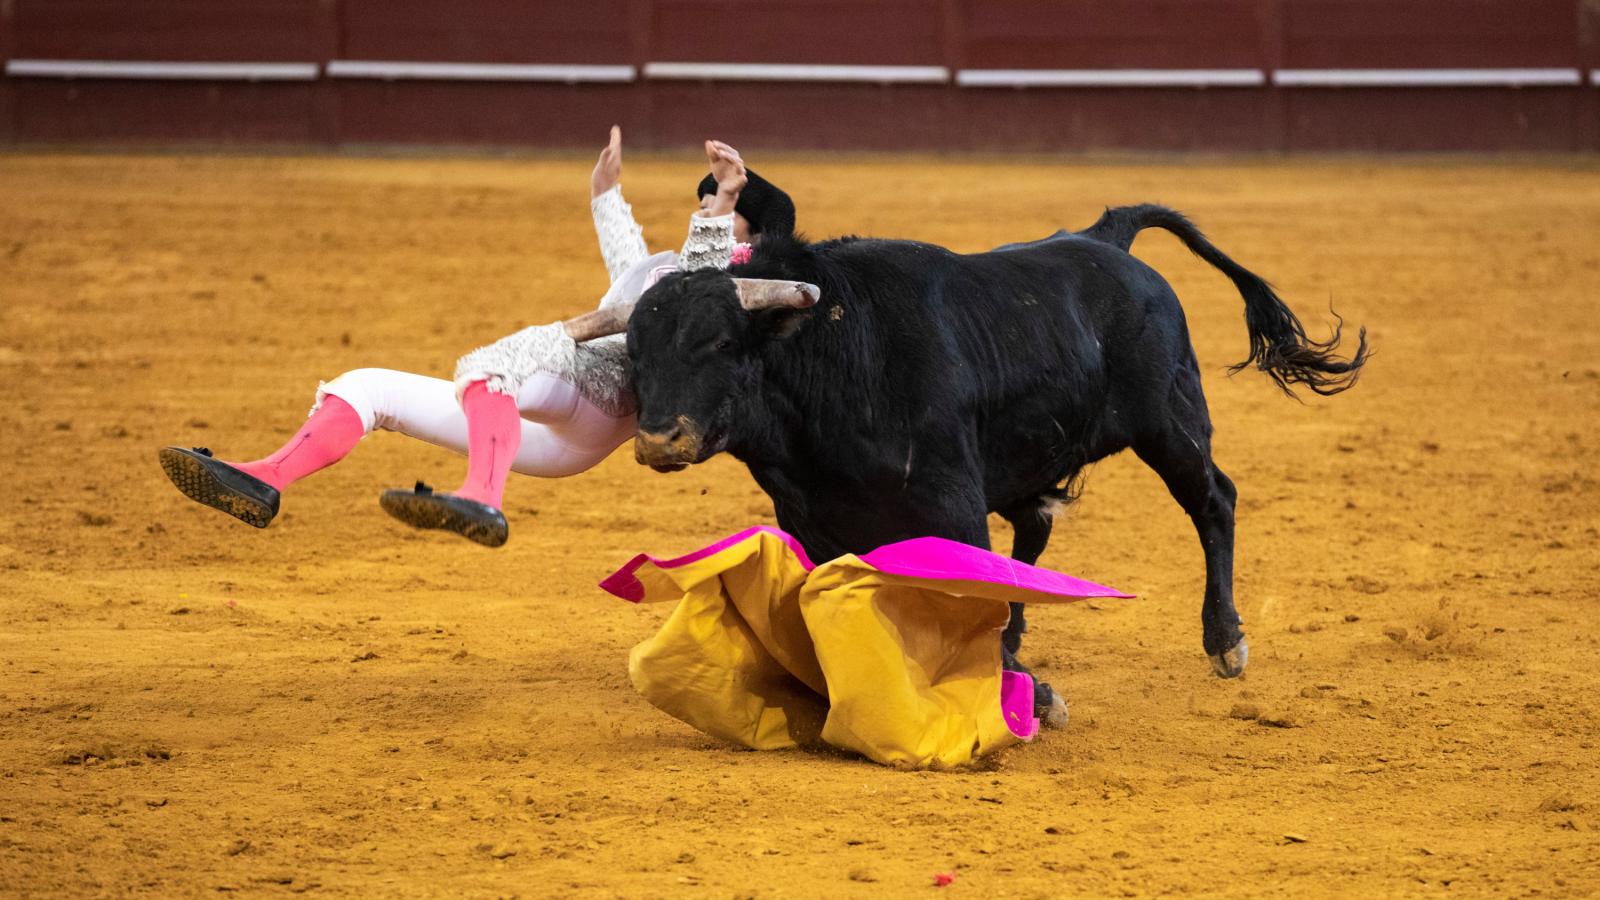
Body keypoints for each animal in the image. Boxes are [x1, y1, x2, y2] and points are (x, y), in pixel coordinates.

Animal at [617, 204, 1369, 714]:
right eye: (633, 354)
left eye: (720, 343)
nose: (659, 441)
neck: (838, 355)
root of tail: (1106, 240)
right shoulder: (814, 519)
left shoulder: (950, 499)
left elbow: (967, 580)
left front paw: (1028, 692)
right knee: (1036, 528)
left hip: (1170, 420)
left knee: (1214, 500)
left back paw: (1224, 640)